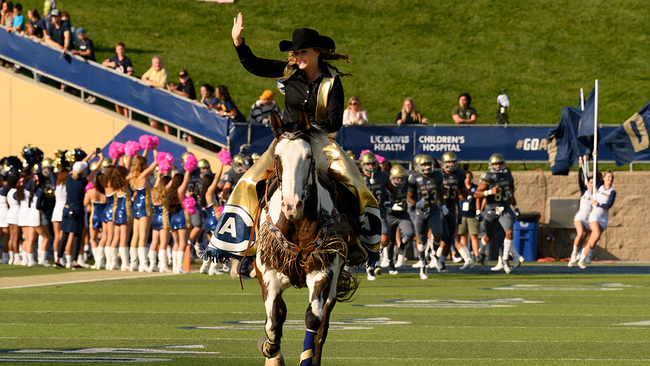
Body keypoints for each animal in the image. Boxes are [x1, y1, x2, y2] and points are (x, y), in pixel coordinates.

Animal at [251, 112, 356, 366]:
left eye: (308, 156)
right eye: (277, 157)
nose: (292, 205)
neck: (296, 224)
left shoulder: (323, 270)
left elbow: (313, 320)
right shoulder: (268, 273)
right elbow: (273, 324)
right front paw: (270, 353)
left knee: (322, 326)